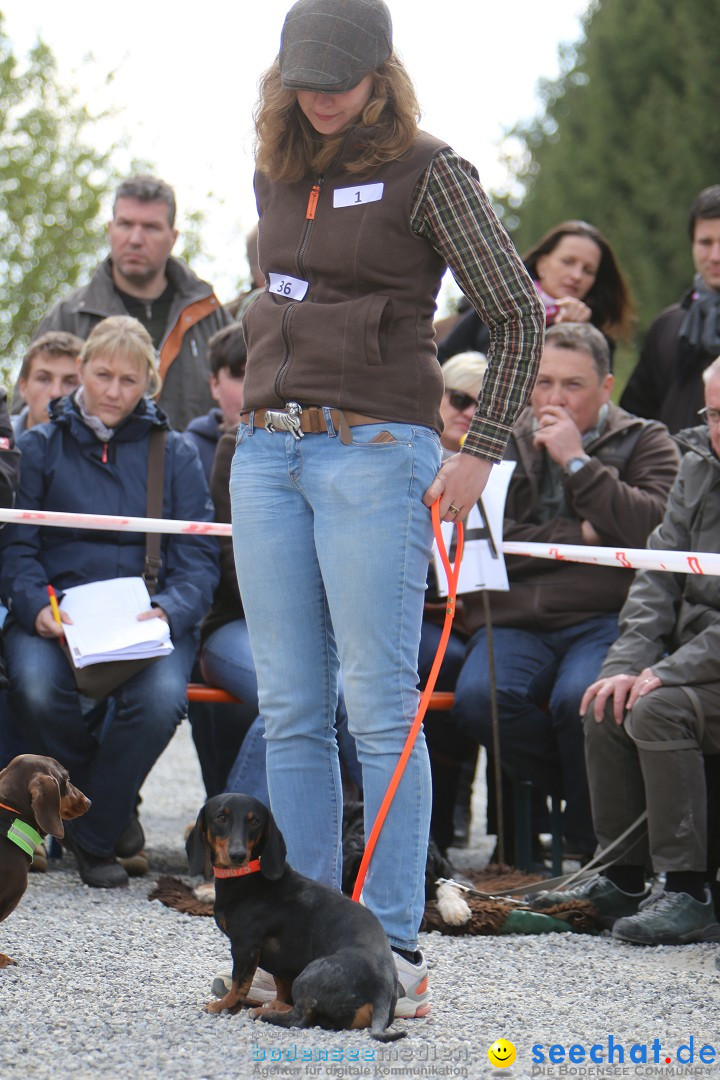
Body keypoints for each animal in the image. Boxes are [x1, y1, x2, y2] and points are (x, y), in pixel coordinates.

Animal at [187, 799, 405, 1041]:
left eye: (255, 821)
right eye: (220, 818)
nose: (238, 855)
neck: (248, 877)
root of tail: (382, 989)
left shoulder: (245, 946)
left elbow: (239, 983)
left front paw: (224, 1005)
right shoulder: (282, 962)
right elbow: (281, 986)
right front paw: (274, 1002)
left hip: (310, 973)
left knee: (300, 1019)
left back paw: (263, 1013)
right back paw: (273, 1007)